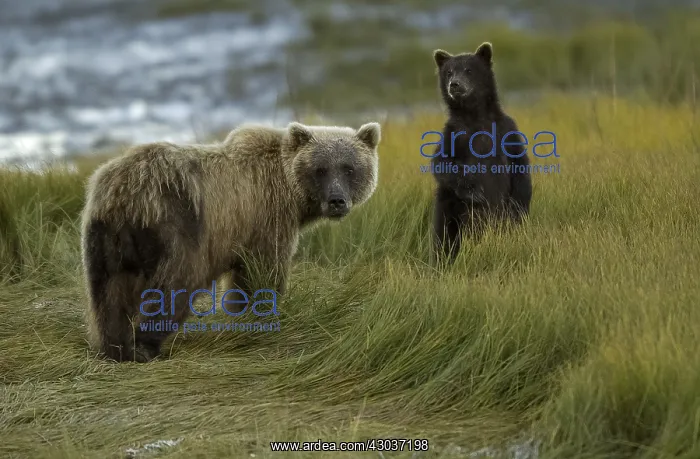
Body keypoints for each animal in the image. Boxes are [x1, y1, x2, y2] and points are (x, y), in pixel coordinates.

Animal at [80, 121, 382, 362]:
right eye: (320, 169)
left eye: (349, 168)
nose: (337, 201)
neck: (291, 194)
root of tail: (125, 192)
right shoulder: (266, 218)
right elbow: (262, 273)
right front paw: (262, 315)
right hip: (179, 226)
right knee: (175, 282)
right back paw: (145, 346)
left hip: (107, 239)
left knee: (109, 292)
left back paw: (114, 348)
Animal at [430, 42, 532, 262]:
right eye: (449, 72)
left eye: (469, 70)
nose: (455, 85)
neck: (474, 117)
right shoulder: (453, 136)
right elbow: (442, 164)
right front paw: (474, 190)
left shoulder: (506, 132)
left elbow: (520, 168)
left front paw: (520, 208)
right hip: (449, 209)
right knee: (444, 236)